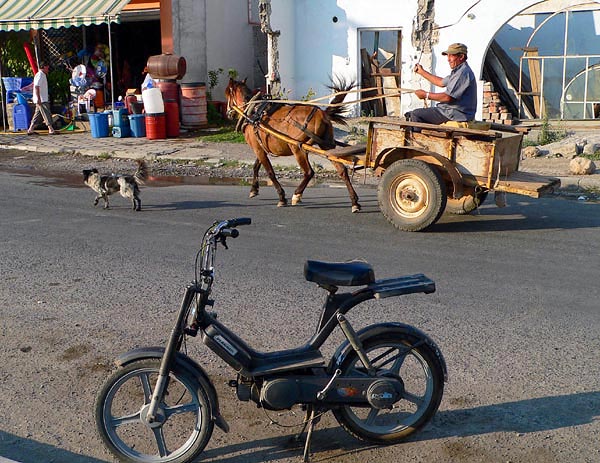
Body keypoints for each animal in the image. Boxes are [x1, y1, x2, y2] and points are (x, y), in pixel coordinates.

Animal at [225, 78, 360, 214]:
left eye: (227, 95)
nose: (228, 113)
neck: (252, 112)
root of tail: (322, 114)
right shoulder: (261, 148)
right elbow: (255, 167)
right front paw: (254, 189)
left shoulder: (258, 149)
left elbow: (270, 172)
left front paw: (281, 197)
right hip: (326, 145)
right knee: (342, 170)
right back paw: (354, 202)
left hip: (297, 148)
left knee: (309, 172)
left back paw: (297, 195)